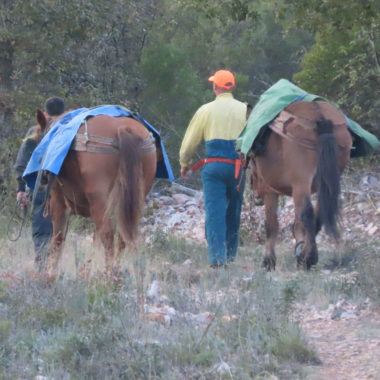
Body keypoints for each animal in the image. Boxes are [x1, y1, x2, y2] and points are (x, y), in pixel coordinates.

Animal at [34, 110, 156, 276]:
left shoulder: (58, 203)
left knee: (108, 235)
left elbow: (57, 240)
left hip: (99, 202)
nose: (41, 178)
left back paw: (109, 275)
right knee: (124, 236)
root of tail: (124, 129)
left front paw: (50, 273)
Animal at [249, 99, 354, 268]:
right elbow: (297, 224)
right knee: (318, 214)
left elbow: (271, 225)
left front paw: (269, 260)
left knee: (308, 214)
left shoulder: (270, 192)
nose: (256, 195)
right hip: (321, 183)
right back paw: (306, 254)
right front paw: (299, 246)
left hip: (301, 182)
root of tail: (319, 113)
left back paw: (308, 258)